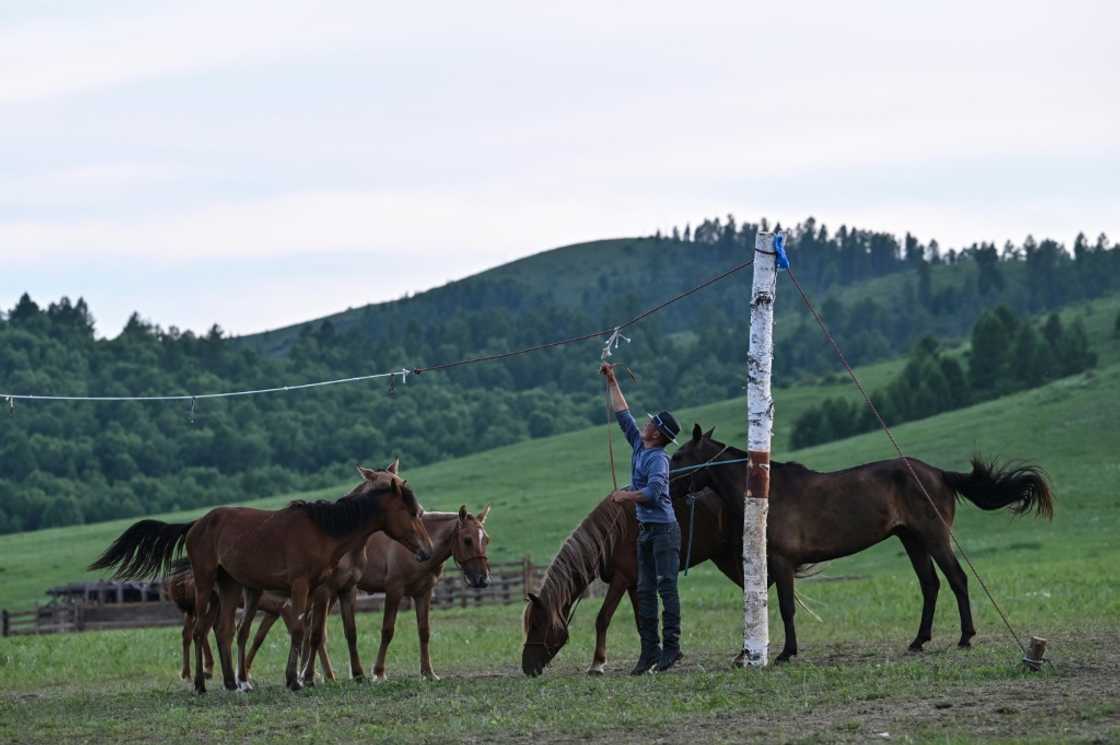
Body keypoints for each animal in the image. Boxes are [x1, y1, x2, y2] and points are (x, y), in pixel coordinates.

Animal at [89, 459, 432, 690]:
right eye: (412, 512)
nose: (426, 551)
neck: (324, 529)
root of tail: (197, 523)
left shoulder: (326, 590)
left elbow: (329, 631)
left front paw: (343, 675)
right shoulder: (302, 588)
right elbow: (301, 631)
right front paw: (295, 680)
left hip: (230, 586)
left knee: (225, 630)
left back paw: (233, 682)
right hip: (205, 583)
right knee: (199, 631)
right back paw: (201, 683)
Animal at [249, 501, 495, 681]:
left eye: (487, 540)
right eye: (467, 540)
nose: (482, 579)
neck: (417, 547)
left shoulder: (423, 594)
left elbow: (424, 632)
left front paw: (428, 672)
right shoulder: (394, 591)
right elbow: (387, 631)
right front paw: (378, 672)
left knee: (313, 631)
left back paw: (321, 675)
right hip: (325, 594)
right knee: (314, 632)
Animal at [519, 423, 1052, 672]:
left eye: (683, 455)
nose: (659, 483)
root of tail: (938, 473)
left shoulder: (780, 562)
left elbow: (787, 609)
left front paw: (786, 652)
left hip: (934, 537)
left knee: (956, 579)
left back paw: (964, 636)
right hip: (911, 540)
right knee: (930, 586)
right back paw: (919, 639)